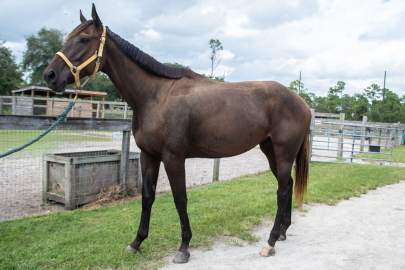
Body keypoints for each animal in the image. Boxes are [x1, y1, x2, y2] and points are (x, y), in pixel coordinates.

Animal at [43, 5, 310, 264]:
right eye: (68, 37)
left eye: (84, 39)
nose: (50, 75)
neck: (156, 96)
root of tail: (303, 104)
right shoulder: (148, 156)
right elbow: (147, 197)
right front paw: (136, 242)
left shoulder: (173, 158)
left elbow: (180, 199)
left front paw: (183, 248)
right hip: (270, 150)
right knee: (287, 185)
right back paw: (283, 232)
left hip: (283, 154)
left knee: (282, 190)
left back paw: (270, 242)